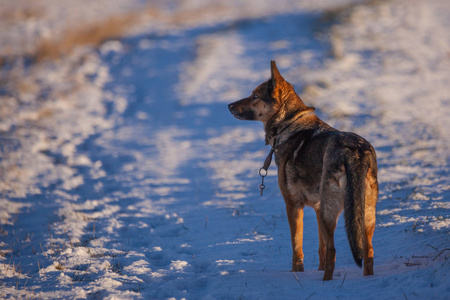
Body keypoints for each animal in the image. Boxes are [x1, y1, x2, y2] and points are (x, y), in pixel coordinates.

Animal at [227, 61, 378, 282]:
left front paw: (296, 273)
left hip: (331, 210)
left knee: (334, 251)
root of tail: (355, 153)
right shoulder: (317, 207)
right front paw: (318, 269)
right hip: (363, 213)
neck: (289, 125)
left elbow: (297, 246)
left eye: (255, 95)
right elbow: (321, 248)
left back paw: (325, 283)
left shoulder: (293, 205)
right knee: (367, 252)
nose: (228, 106)